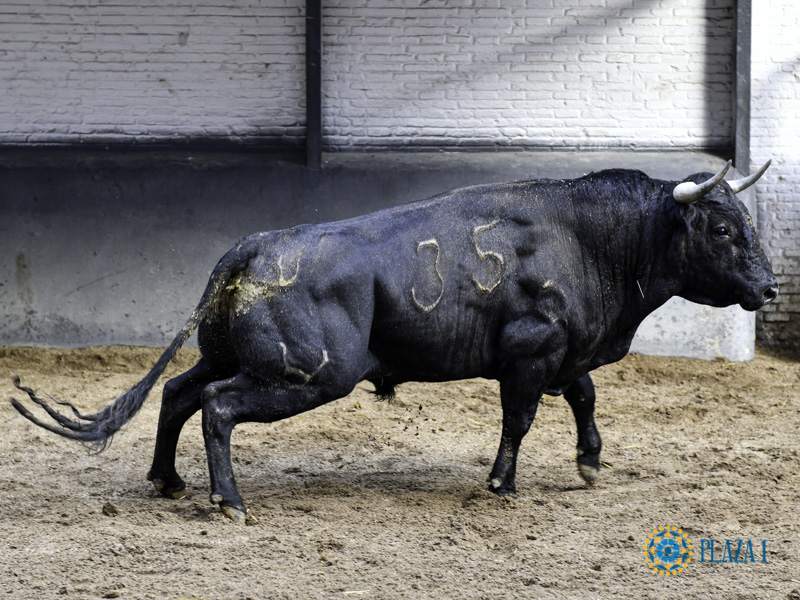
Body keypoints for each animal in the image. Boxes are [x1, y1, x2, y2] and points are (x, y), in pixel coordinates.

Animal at [11, 160, 777, 523]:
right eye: (722, 228)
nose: (770, 289)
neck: (591, 238)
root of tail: (251, 246)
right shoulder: (529, 353)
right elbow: (522, 418)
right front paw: (501, 483)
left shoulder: (562, 351)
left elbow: (584, 395)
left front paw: (590, 462)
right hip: (306, 375)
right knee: (218, 407)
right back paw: (229, 501)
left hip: (232, 355)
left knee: (176, 393)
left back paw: (168, 481)